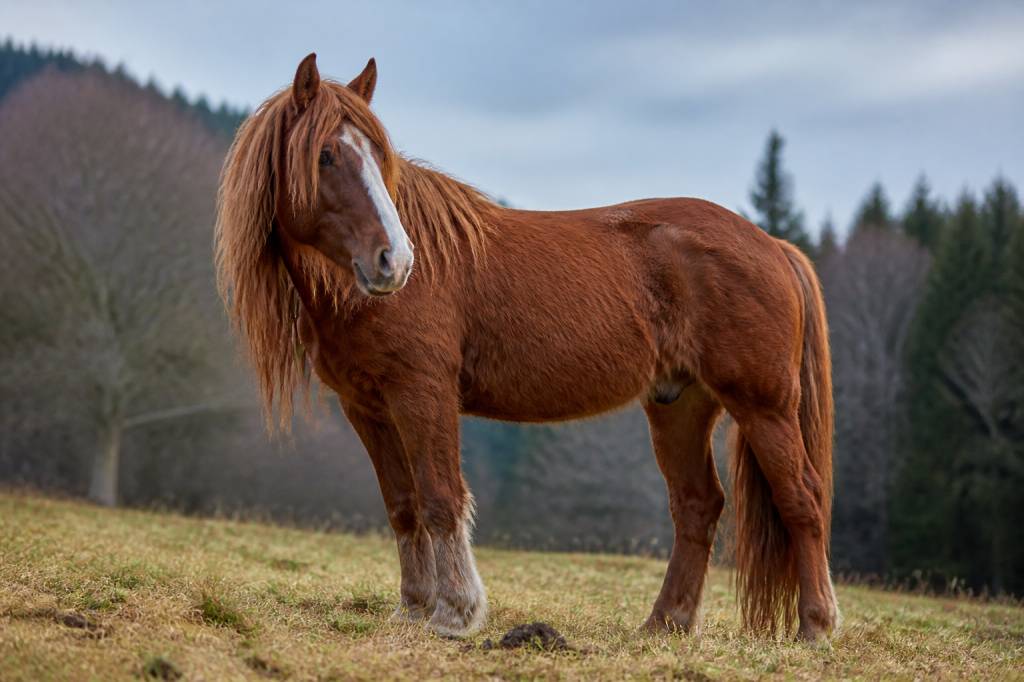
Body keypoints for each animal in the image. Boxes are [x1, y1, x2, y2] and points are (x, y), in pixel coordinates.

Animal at [215, 54, 839, 641]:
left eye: (379, 157)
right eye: (325, 155)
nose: (394, 261)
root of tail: (774, 245)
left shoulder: (423, 393)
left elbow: (441, 497)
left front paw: (455, 614)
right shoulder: (366, 408)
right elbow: (403, 505)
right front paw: (412, 608)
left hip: (763, 406)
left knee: (802, 497)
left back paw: (814, 626)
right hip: (679, 405)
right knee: (697, 506)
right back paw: (667, 623)